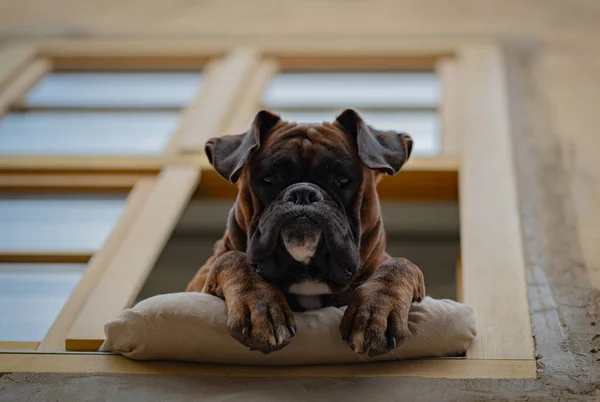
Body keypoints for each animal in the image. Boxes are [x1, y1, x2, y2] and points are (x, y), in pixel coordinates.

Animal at [188, 109, 426, 354]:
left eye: (341, 180)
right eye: (269, 179)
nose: (303, 193)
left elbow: (400, 265)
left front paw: (375, 312)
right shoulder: (199, 284)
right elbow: (232, 259)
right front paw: (260, 305)